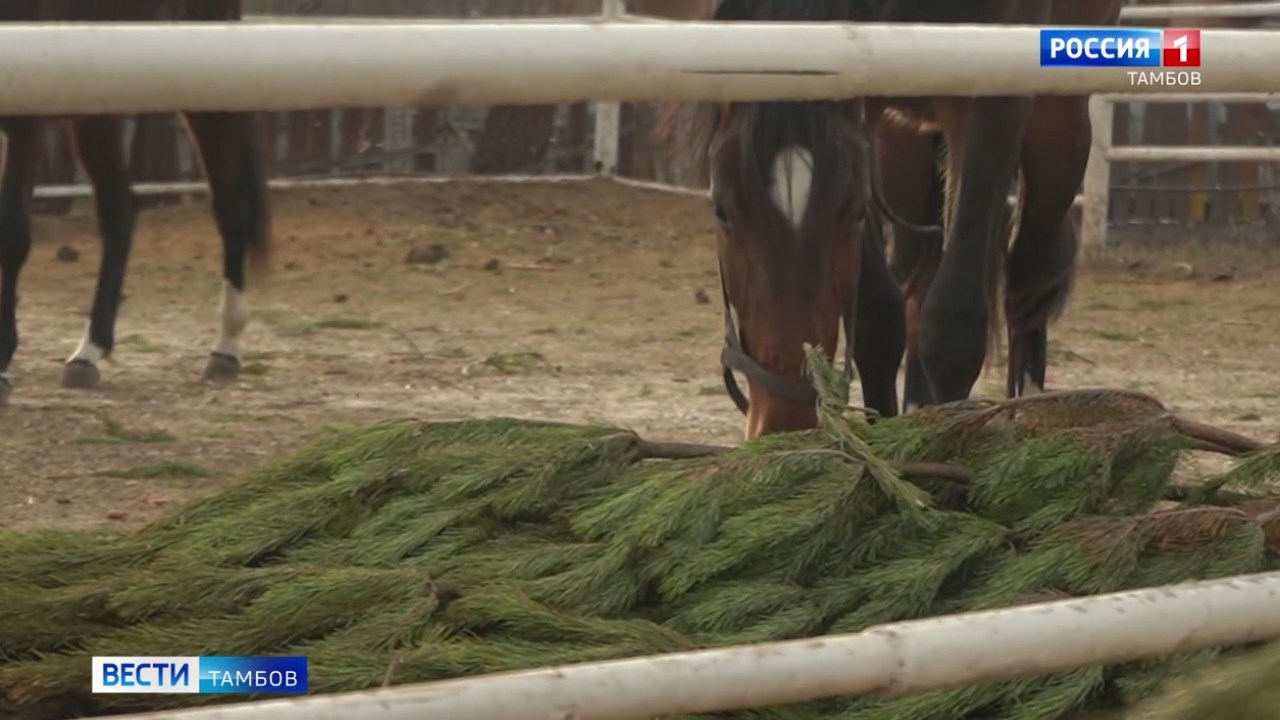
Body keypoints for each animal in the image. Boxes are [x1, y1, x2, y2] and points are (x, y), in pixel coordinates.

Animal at [0, 0, 270, 404]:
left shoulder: (26, 122)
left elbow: (12, 235)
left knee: (230, 207)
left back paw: (225, 348)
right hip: (97, 105)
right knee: (119, 210)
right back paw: (87, 354)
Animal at [680, 0, 1121, 438]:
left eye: (856, 210)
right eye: (721, 208)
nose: (784, 424)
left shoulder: (995, 93)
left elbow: (953, 325)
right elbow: (878, 321)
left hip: (1058, 124)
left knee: (1028, 286)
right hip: (903, 151)